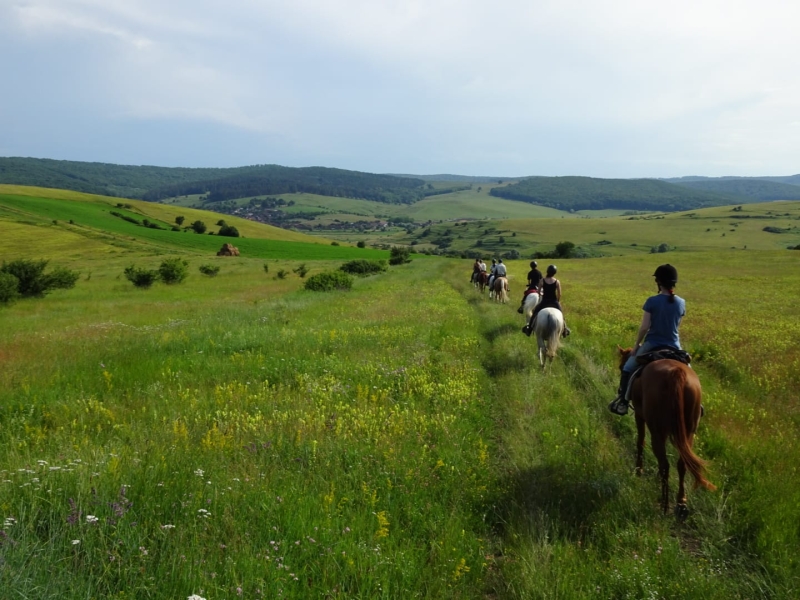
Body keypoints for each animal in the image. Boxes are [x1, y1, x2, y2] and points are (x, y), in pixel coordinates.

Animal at [620, 350, 720, 512]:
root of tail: (677, 373)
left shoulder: (639, 416)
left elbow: (640, 441)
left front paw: (638, 469)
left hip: (657, 432)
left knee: (665, 464)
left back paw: (664, 504)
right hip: (688, 433)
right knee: (682, 464)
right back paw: (681, 502)